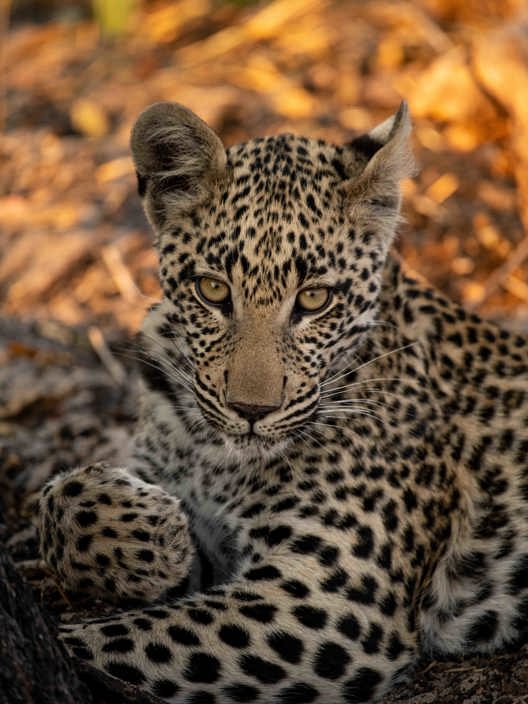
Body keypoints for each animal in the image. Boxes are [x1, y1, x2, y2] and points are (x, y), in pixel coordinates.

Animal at [37, 101, 528, 704]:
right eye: (213, 290)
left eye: (314, 299)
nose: (252, 411)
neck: (210, 453)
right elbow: (58, 496)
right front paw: (152, 533)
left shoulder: (328, 596)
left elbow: (108, 642)